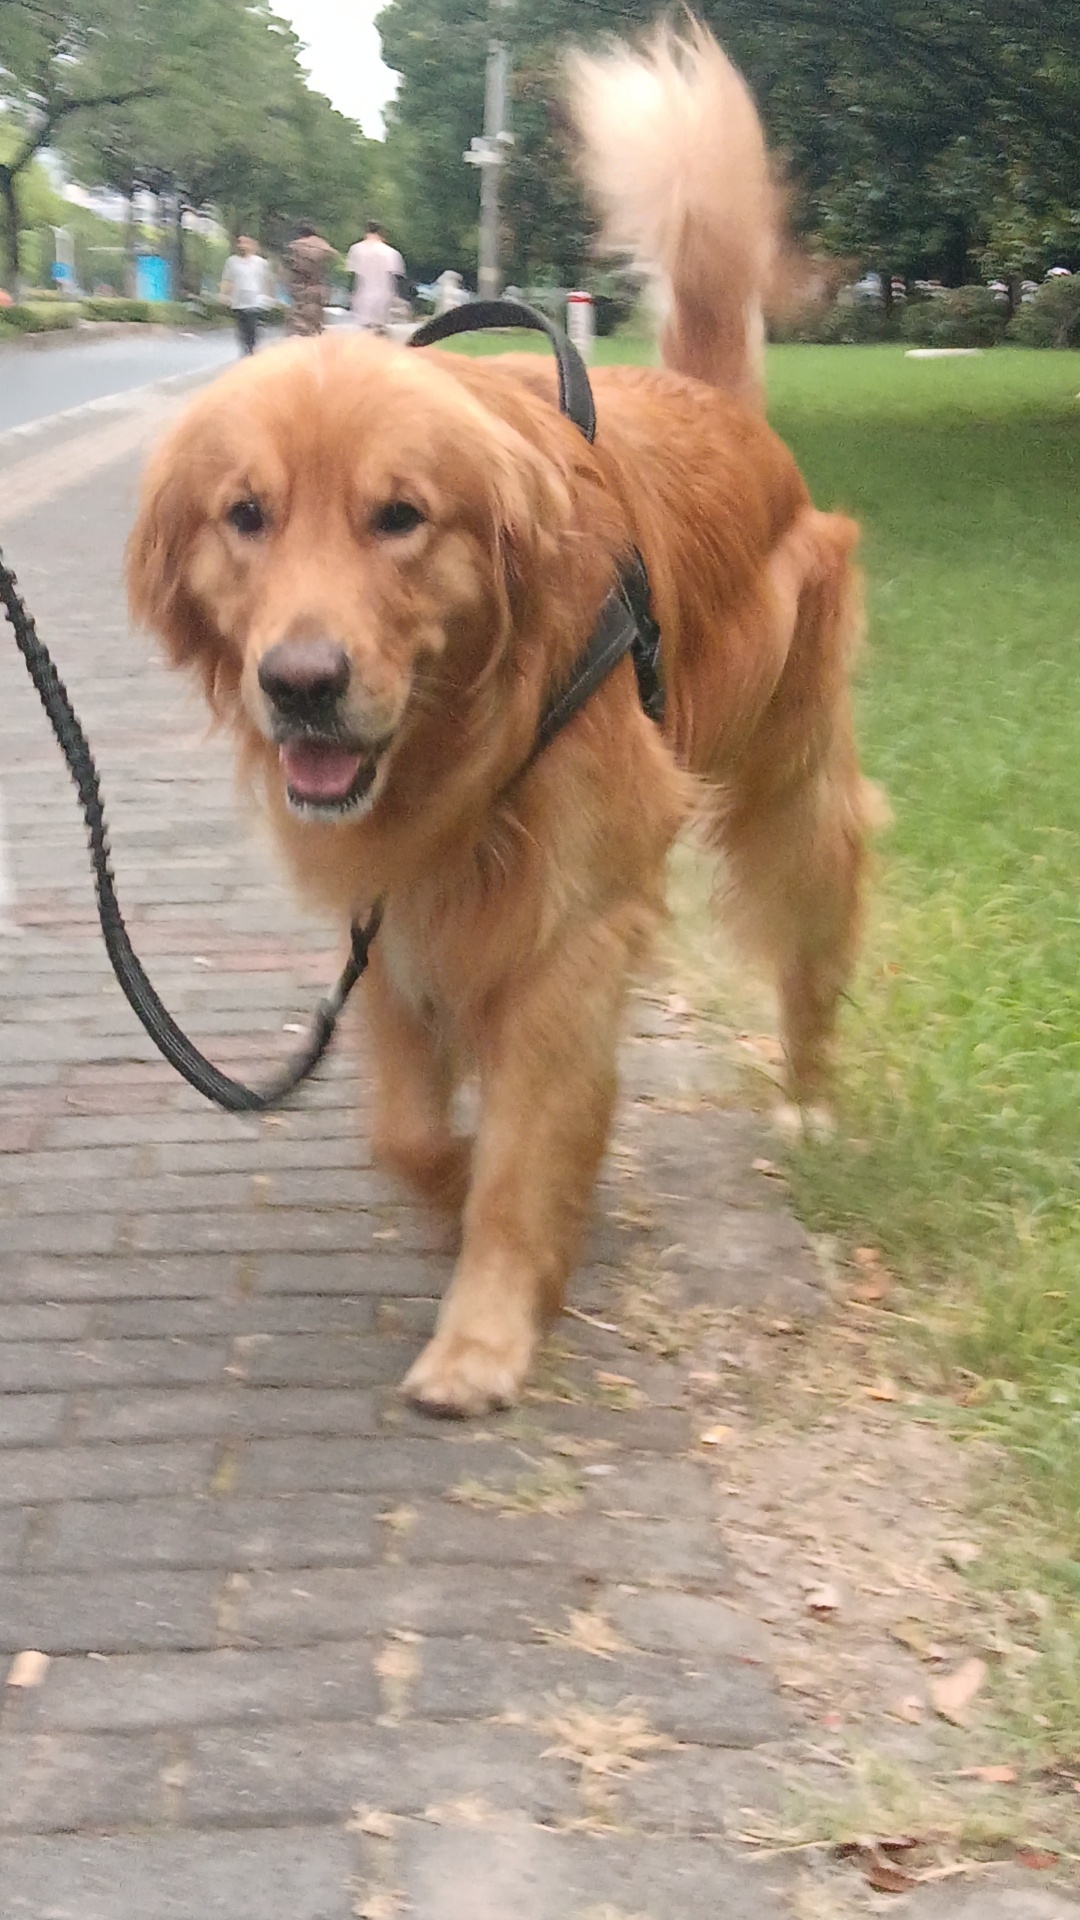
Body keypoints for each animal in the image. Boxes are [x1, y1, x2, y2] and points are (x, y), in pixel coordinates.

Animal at [127, 22, 869, 1417]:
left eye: (400, 517)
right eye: (246, 516)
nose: (300, 683)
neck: (460, 738)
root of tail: (721, 405)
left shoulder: (570, 923)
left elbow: (527, 1143)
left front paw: (483, 1332)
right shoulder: (397, 903)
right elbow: (409, 1128)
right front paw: (457, 1199)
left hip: (793, 783)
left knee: (813, 921)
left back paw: (807, 1100)